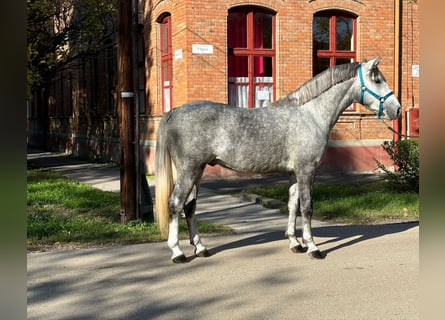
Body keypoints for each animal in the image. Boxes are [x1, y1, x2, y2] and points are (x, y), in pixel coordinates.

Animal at [154, 57, 400, 262]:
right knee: (175, 204)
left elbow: (292, 205)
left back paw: (200, 248)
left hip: (198, 171)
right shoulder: (306, 171)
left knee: (190, 207)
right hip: (189, 171)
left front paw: (295, 243)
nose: (396, 109)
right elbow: (307, 207)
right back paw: (177, 252)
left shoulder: (294, 173)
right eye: (377, 79)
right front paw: (313, 247)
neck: (310, 114)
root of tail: (174, 111)